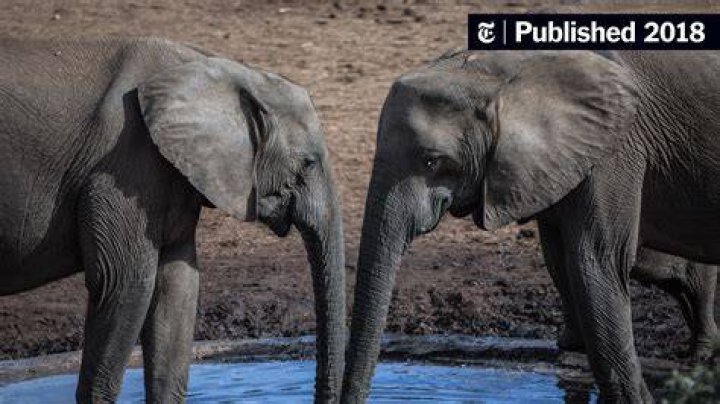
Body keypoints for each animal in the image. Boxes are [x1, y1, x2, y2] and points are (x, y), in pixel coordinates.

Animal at [341, 49, 720, 403]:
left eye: (432, 162)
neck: (505, 72)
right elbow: (560, 256)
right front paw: (572, 348)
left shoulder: (615, 148)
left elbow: (598, 263)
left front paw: (634, 398)